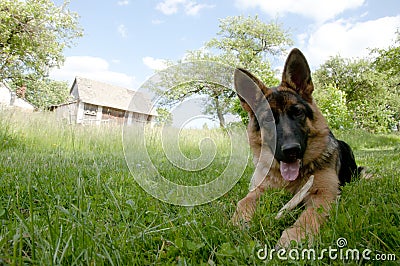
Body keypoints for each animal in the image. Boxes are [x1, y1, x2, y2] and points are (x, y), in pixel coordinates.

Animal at [230, 47, 360, 247]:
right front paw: (238, 221)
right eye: (267, 119)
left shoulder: (324, 194)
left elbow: (311, 215)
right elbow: (243, 202)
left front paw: (296, 237)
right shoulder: (260, 190)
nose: (290, 150)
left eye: (297, 112)